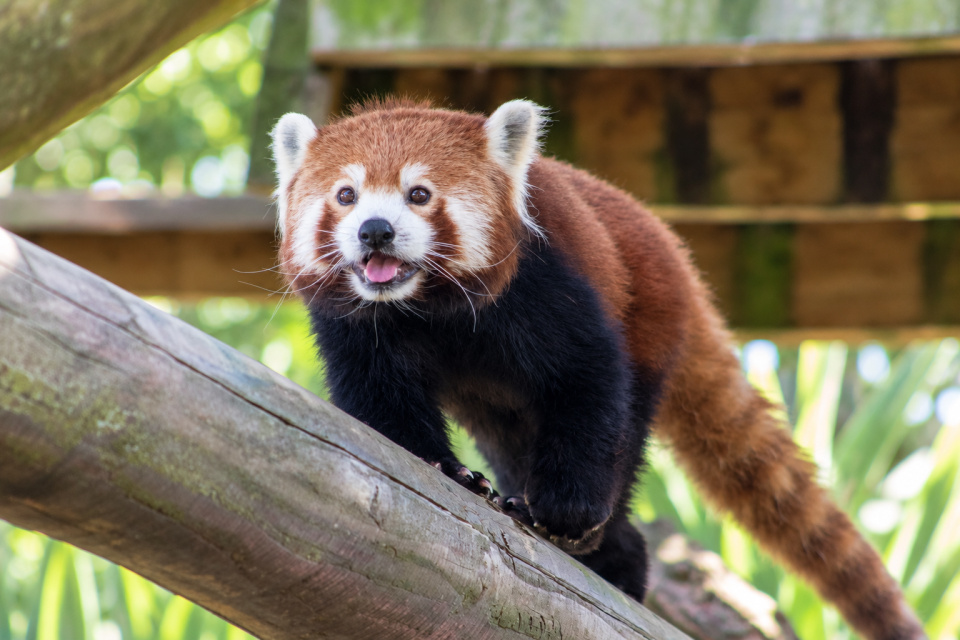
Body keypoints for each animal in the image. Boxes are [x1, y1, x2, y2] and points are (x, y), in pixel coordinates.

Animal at [270, 97, 925, 640]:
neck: (427, 306)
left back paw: (611, 553)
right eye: (347, 196)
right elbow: (380, 405)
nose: (374, 232)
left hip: (651, 310)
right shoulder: (358, 326)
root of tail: (677, 257)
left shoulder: (547, 283)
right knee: (511, 437)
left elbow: (588, 381)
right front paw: (444, 469)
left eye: (419, 194)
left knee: (624, 431)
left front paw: (566, 516)